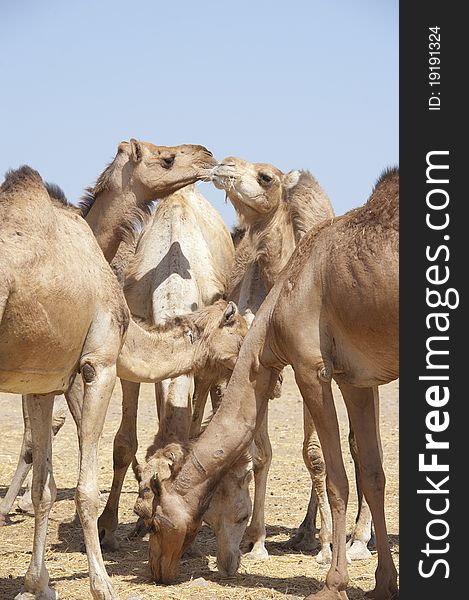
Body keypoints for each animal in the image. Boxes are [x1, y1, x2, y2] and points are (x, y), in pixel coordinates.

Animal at [144, 165, 396, 600]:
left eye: (155, 521)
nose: (158, 570)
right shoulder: (356, 379)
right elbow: (372, 471)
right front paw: (384, 584)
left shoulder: (312, 368)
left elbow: (334, 475)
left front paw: (333, 581)